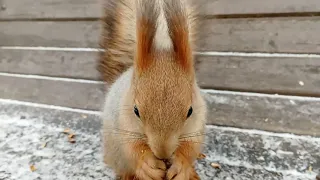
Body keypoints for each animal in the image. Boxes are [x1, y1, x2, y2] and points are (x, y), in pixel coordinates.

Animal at [98, 0, 208, 179]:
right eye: (136, 110)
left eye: (190, 111)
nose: (163, 153)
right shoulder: (124, 124)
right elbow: (133, 148)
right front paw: (147, 165)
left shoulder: (196, 126)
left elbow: (189, 148)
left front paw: (181, 165)